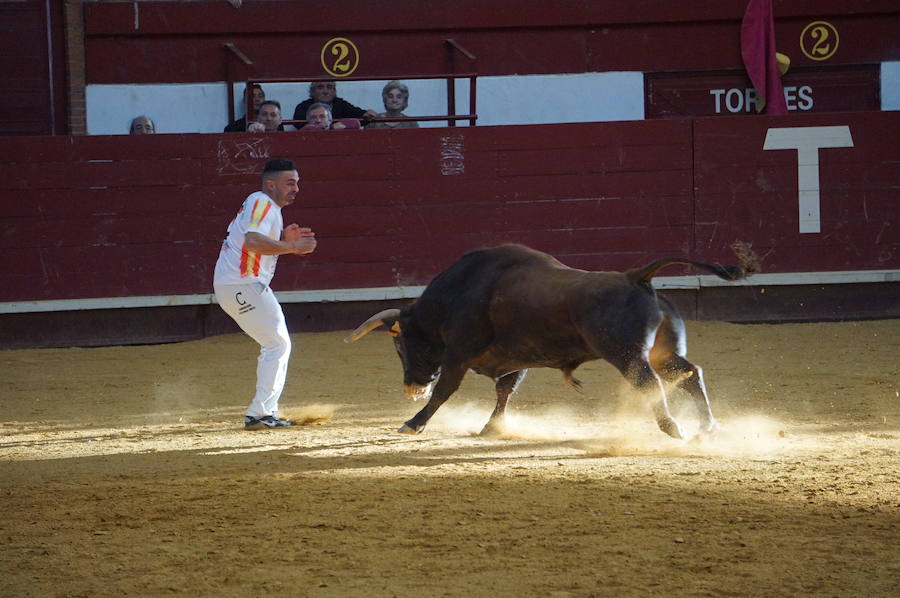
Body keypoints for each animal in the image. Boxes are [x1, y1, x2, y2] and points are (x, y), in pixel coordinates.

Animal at [346, 244, 760, 440]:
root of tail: (634, 276)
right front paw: (492, 428)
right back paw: (707, 427)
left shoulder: (458, 355)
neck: (456, 294)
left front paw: (412, 423)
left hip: (627, 355)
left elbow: (446, 391)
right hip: (663, 351)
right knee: (689, 374)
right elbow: (506, 391)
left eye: (400, 345)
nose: (410, 387)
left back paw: (673, 428)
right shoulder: (515, 358)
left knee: (650, 382)